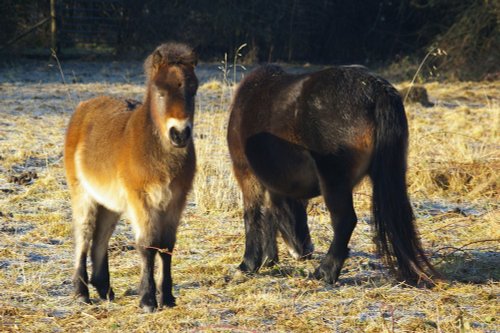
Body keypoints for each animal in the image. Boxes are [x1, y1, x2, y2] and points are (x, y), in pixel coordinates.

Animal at [64, 42, 199, 312]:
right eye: (160, 93)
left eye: (193, 90)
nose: (179, 134)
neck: (155, 151)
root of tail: (83, 108)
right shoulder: (141, 200)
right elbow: (147, 245)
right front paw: (147, 300)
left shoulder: (175, 202)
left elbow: (166, 245)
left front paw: (168, 298)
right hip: (83, 194)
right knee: (84, 236)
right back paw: (81, 292)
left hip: (109, 203)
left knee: (100, 238)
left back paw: (104, 289)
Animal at [229, 64, 436, 282]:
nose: (304, 251)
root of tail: (376, 90)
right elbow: (268, 214)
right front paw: (269, 260)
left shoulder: (246, 173)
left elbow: (252, 215)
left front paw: (247, 264)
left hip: (333, 181)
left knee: (345, 221)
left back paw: (325, 272)